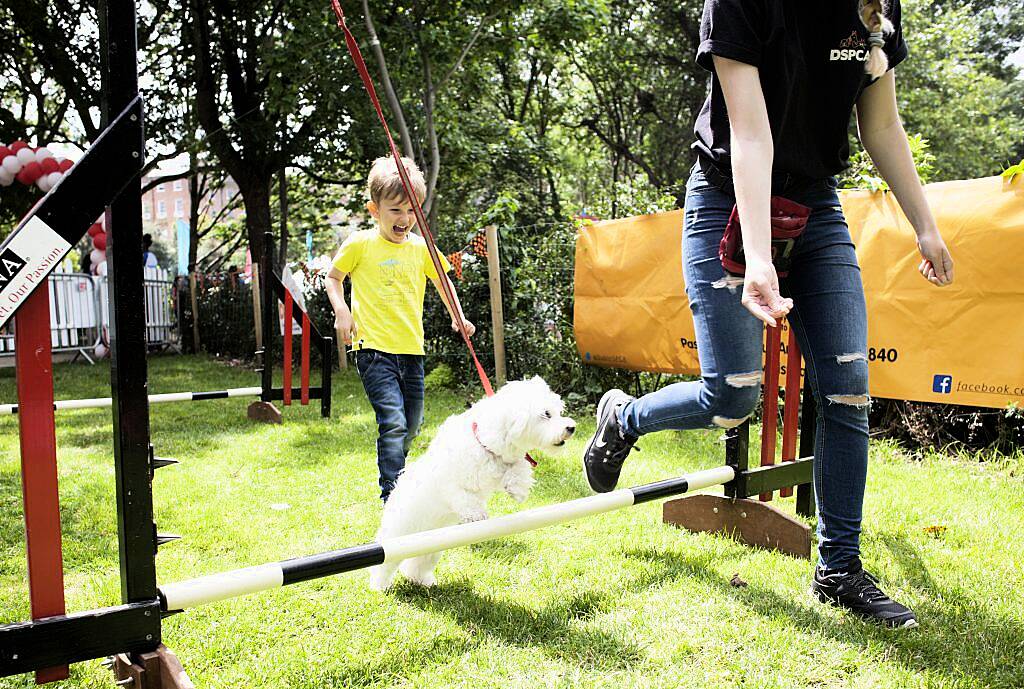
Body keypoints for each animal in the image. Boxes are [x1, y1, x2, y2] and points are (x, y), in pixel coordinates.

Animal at [370, 372, 577, 589]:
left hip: (430, 544)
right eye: (546, 414)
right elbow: (465, 497)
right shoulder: (451, 483)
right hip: (398, 535)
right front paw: (477, 515)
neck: (485, 444)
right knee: (385, 565)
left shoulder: (504, 461)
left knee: (417, 563)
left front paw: (517, 489)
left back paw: (423, 581)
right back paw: (379, 586)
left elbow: (518, 467)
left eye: (558, 411)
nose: (571, 427)